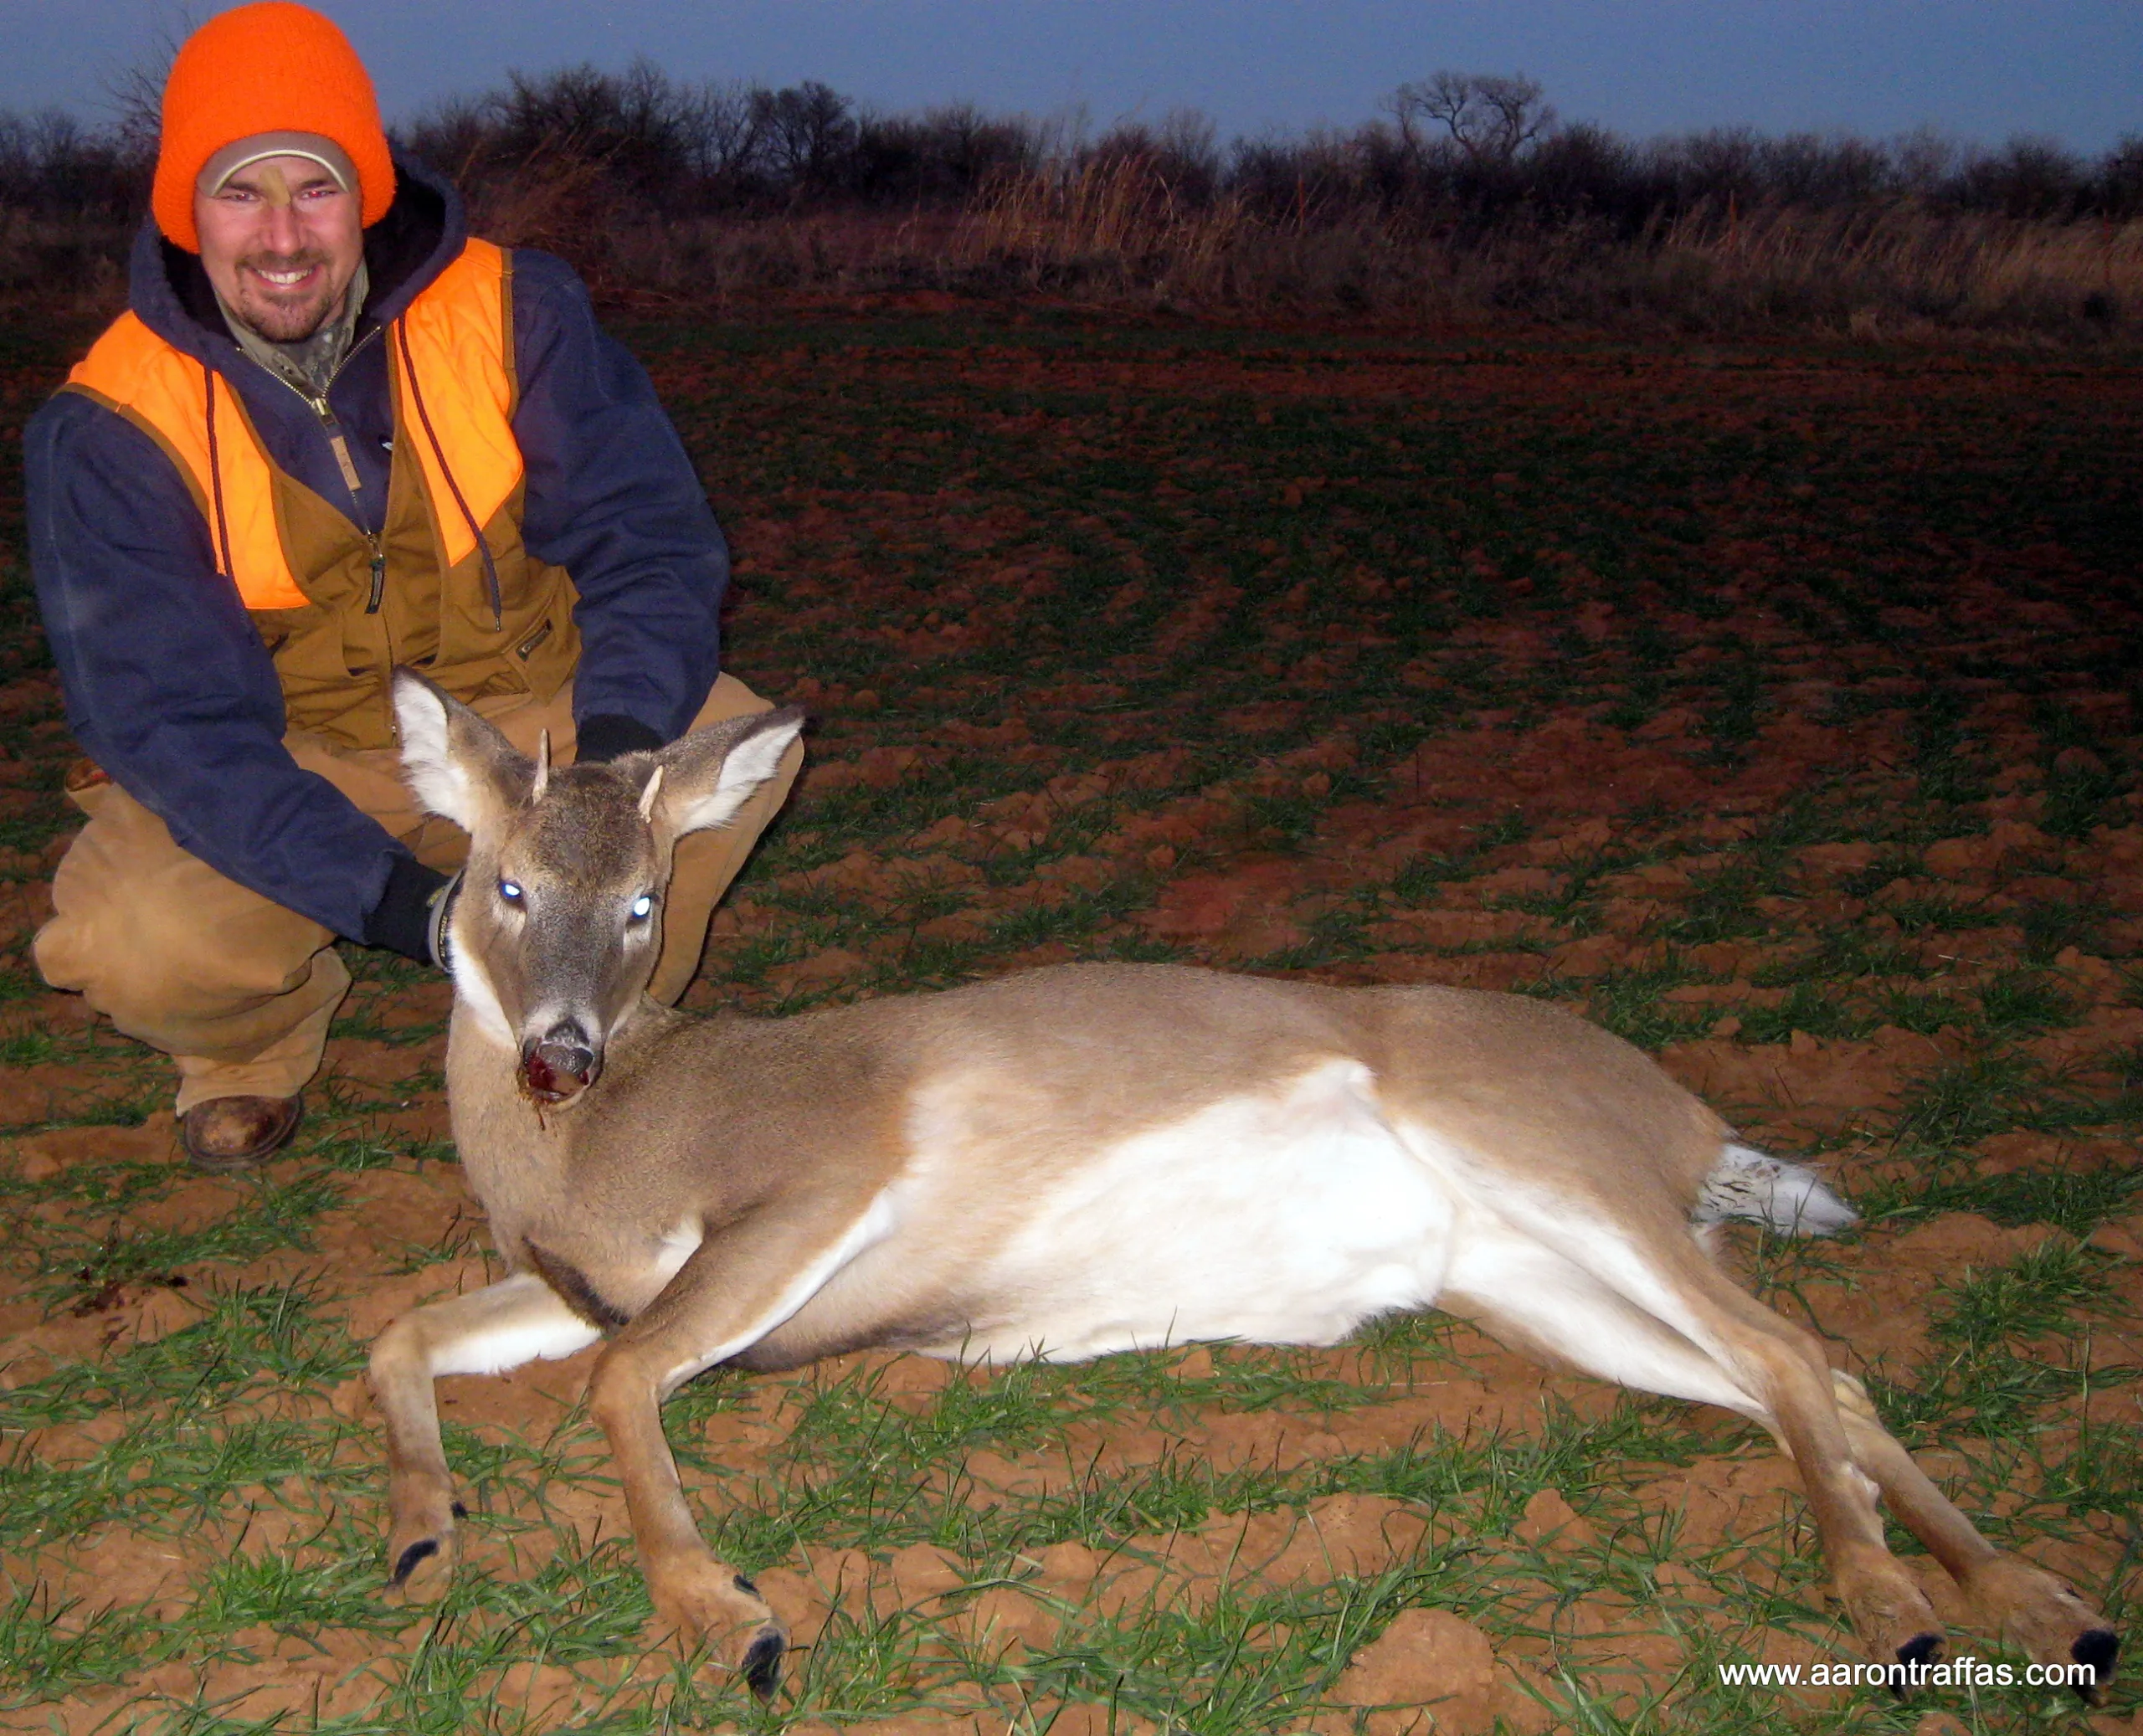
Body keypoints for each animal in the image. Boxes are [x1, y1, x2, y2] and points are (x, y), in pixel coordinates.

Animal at [368, 667, 2121, 1705]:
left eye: (647, 901)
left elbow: (615, 1377)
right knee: (1804, 1373)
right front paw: (422, 1539)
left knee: (1790, 1350)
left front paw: (727, 1610)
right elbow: (404, 1330)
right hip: (1531, 1282)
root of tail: (1689, 1114)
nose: (564, 1047)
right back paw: (2040, 1604)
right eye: (502, 881)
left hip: (1554, 1152)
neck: (601, 1153)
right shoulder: (598, 1274)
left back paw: (1901, 1603)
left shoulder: (812, 1176)